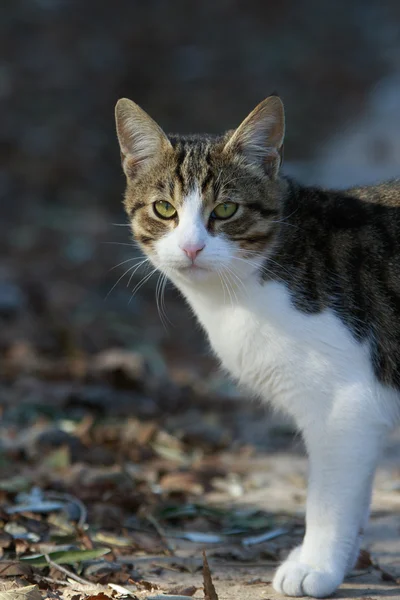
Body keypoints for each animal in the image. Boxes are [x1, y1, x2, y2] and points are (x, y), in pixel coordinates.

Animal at [113, 95, 400, 596]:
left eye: (226, 209)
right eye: (164, 209)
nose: (191, 248)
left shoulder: (347, 408)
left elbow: (329, 499)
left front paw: (317, 566)